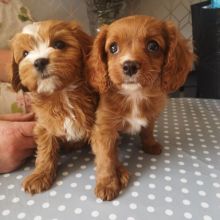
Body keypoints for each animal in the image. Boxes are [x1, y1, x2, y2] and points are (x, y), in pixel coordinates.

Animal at [10, 19, 96, 193]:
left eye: (59, 44)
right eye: (25, 54)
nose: (39, 61)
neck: (61, 94)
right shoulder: (44, 126)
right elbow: (45, 151)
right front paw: (40, 175)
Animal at [87, 15, 195, 201]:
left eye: (153, 46)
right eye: (113, 48)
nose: (129, 66)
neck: (135, 95)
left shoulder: (151, 115)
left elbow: (147, 130)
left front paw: (150, 145)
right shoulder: (103, 129)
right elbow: (106, 157)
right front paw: (107, 184)